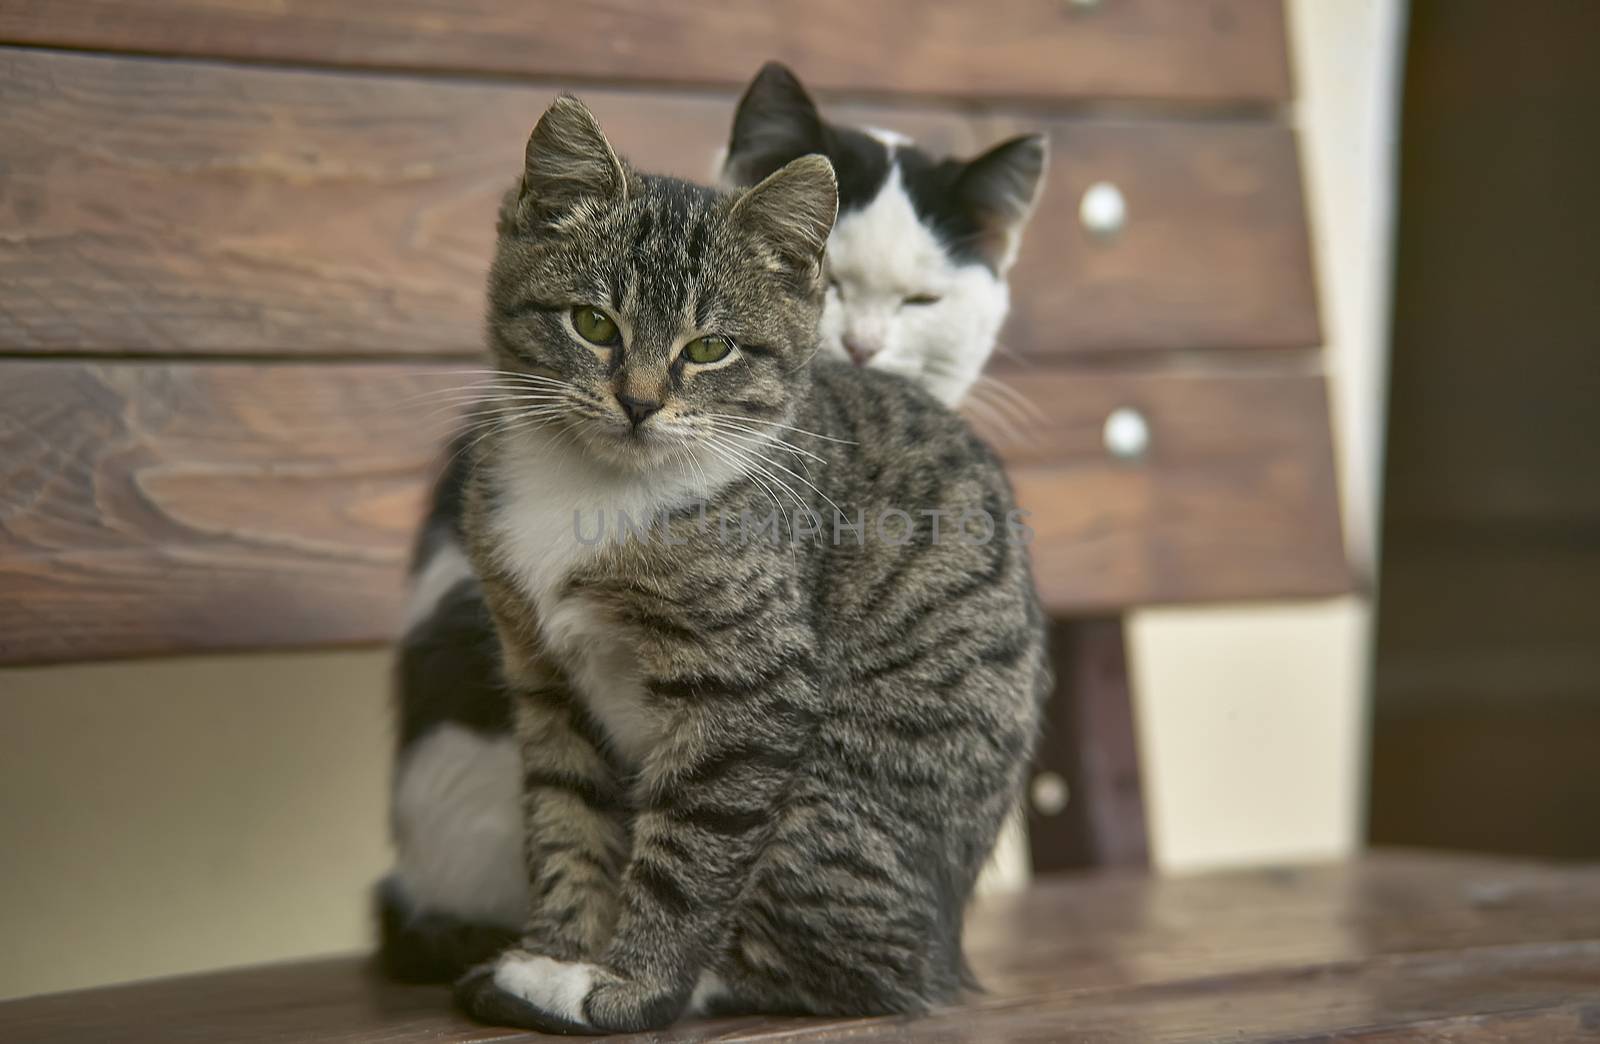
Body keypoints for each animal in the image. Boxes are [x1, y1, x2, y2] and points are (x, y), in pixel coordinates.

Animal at [376, 67, 1049, 986]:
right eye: (593, 324)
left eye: (709, 349)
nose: (638, 401)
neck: (600, 488)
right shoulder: (540, 671)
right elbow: (566, 818)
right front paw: (556, 951)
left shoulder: (751, 681)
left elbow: (694, 842)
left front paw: (625, 981)